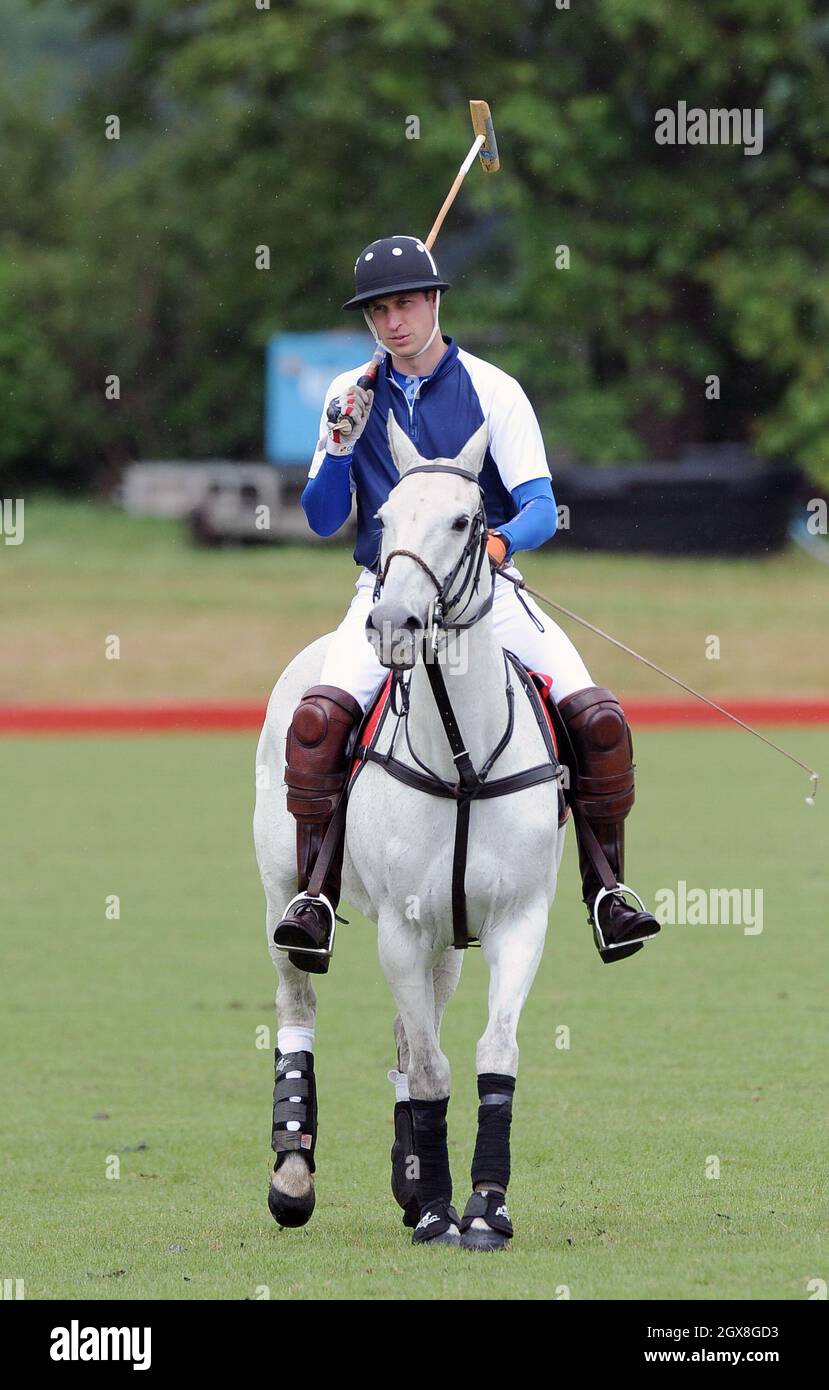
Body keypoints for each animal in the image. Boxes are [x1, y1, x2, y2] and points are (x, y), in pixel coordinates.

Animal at [253, 411, 564, 1251]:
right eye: (384, 519)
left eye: (465, 520)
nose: (393, 623)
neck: (461, 759)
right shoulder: (399, 925)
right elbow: (430, 1068)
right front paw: (434, 1212)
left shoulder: (515, 920)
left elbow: (489, 1052)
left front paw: (482, 1205)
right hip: (282, 889)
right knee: (297, 1002)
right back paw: (292, 1176)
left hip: (447, 940)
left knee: (409, 1025)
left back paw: (410, 1174)